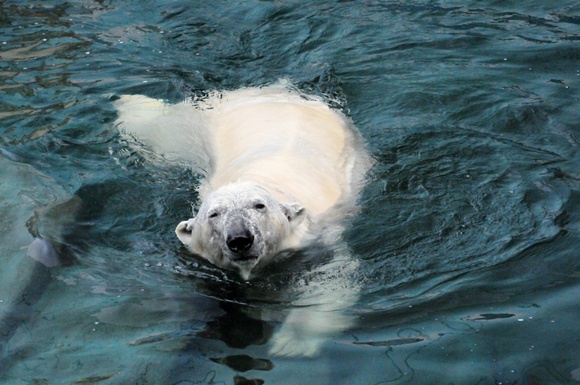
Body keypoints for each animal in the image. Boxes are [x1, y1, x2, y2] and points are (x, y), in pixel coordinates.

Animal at [114, 82, 372, 356]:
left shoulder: (318, 240)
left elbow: (332, 280)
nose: (239, 240)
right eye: (214, 214)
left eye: (259, 205)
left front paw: (290, 343)